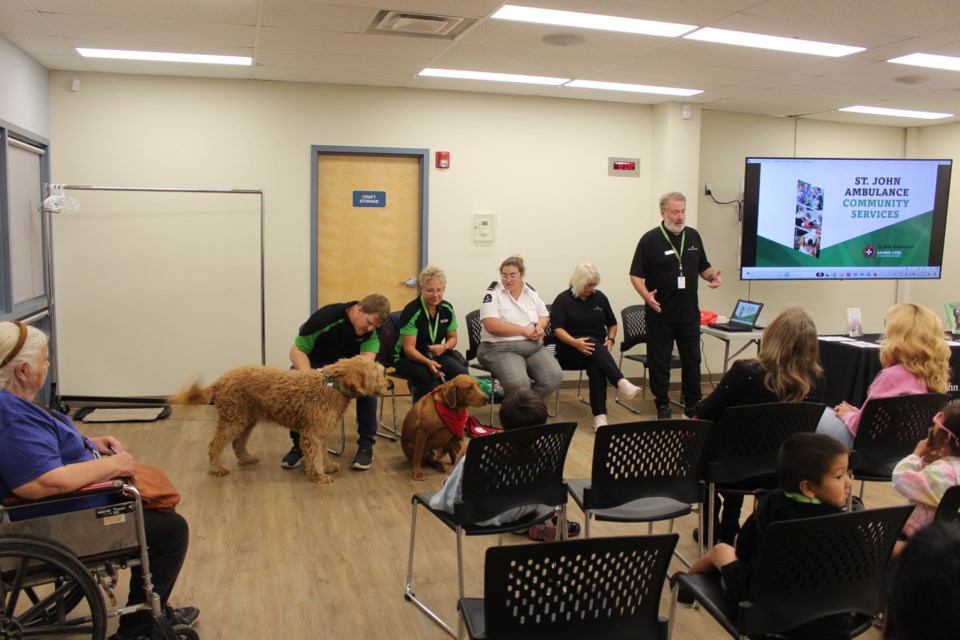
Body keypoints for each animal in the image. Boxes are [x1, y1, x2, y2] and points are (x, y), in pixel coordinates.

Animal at [170, 356, 390, 484]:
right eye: (378, 374)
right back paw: (217, 468)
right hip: (233, 419)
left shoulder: (321, 432)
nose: (388, 384)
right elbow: (315, 456)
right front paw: (319, 475)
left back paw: (246, 458)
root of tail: (220, 380)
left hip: (246, 420)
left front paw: (327, 467)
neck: (332, 386)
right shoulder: (312, 433)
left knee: (237, 443)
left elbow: (322, 454)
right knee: (215, 445)